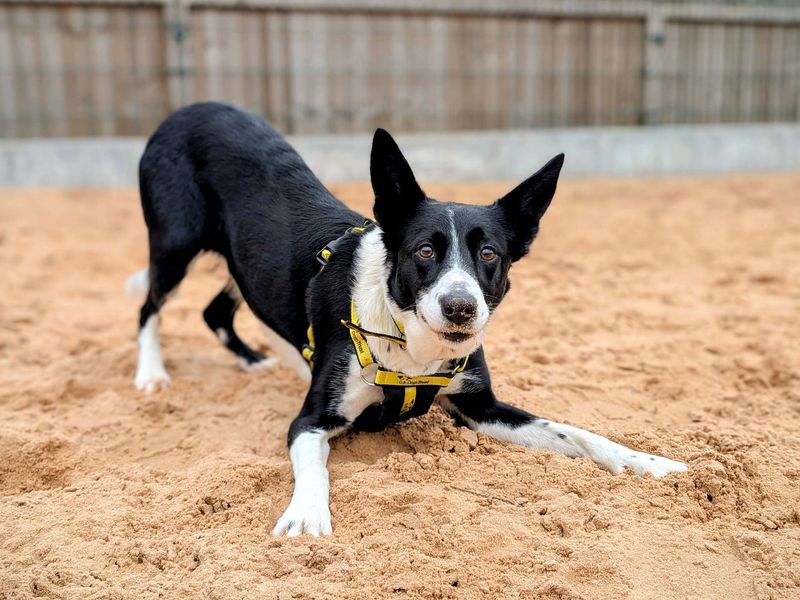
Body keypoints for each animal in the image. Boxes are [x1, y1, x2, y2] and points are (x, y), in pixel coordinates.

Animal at [131, 101, 688, 536]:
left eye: (489, 254)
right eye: (424, 250)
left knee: (217, 309)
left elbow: (577, 433)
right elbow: (315, 468)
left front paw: (649, 461)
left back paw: (257, 361)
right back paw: (152, 374)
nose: (461, 307)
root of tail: (188, 110)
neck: (411, 347)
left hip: (238, 261)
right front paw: (307, 515)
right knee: (148, 307)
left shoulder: (480, 406)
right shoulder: (311, 422)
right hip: (175, 245)